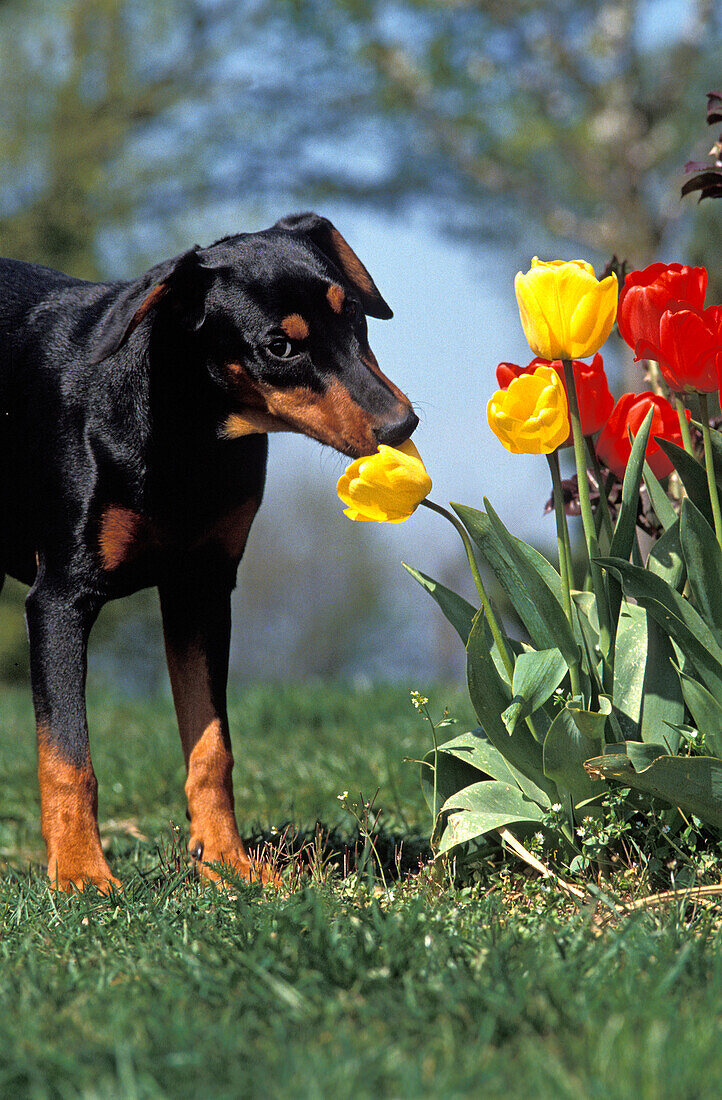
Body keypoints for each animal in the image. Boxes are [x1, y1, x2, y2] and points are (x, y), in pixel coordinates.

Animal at [1, 214, 418, 893]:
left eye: (353, 312)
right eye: (279, 347)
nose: (401, 426)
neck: (185, 431)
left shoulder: (201, 591)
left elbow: (210, 747)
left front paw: (229, 864)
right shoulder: (61, 596)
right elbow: (67, 755)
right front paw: (83, 877)